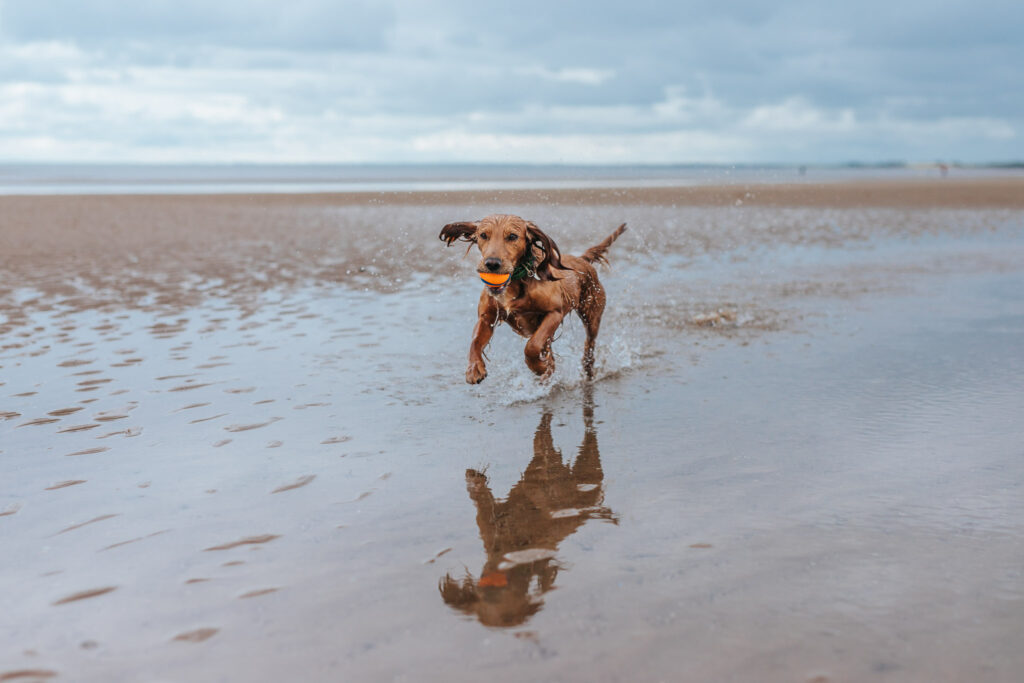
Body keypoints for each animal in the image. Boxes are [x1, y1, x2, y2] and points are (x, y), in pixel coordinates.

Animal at [438, 215, 622, 385]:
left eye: (512, 236)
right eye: (483, 235)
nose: (492, 264)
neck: (514, 283)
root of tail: (582, 260)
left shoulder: (554, 313)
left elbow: (532, 346)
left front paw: (538, 367)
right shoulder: (487, 317)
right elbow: (475, 341)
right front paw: (474, 369)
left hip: (592, 315)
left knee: (589, 344)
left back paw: (585, 369)